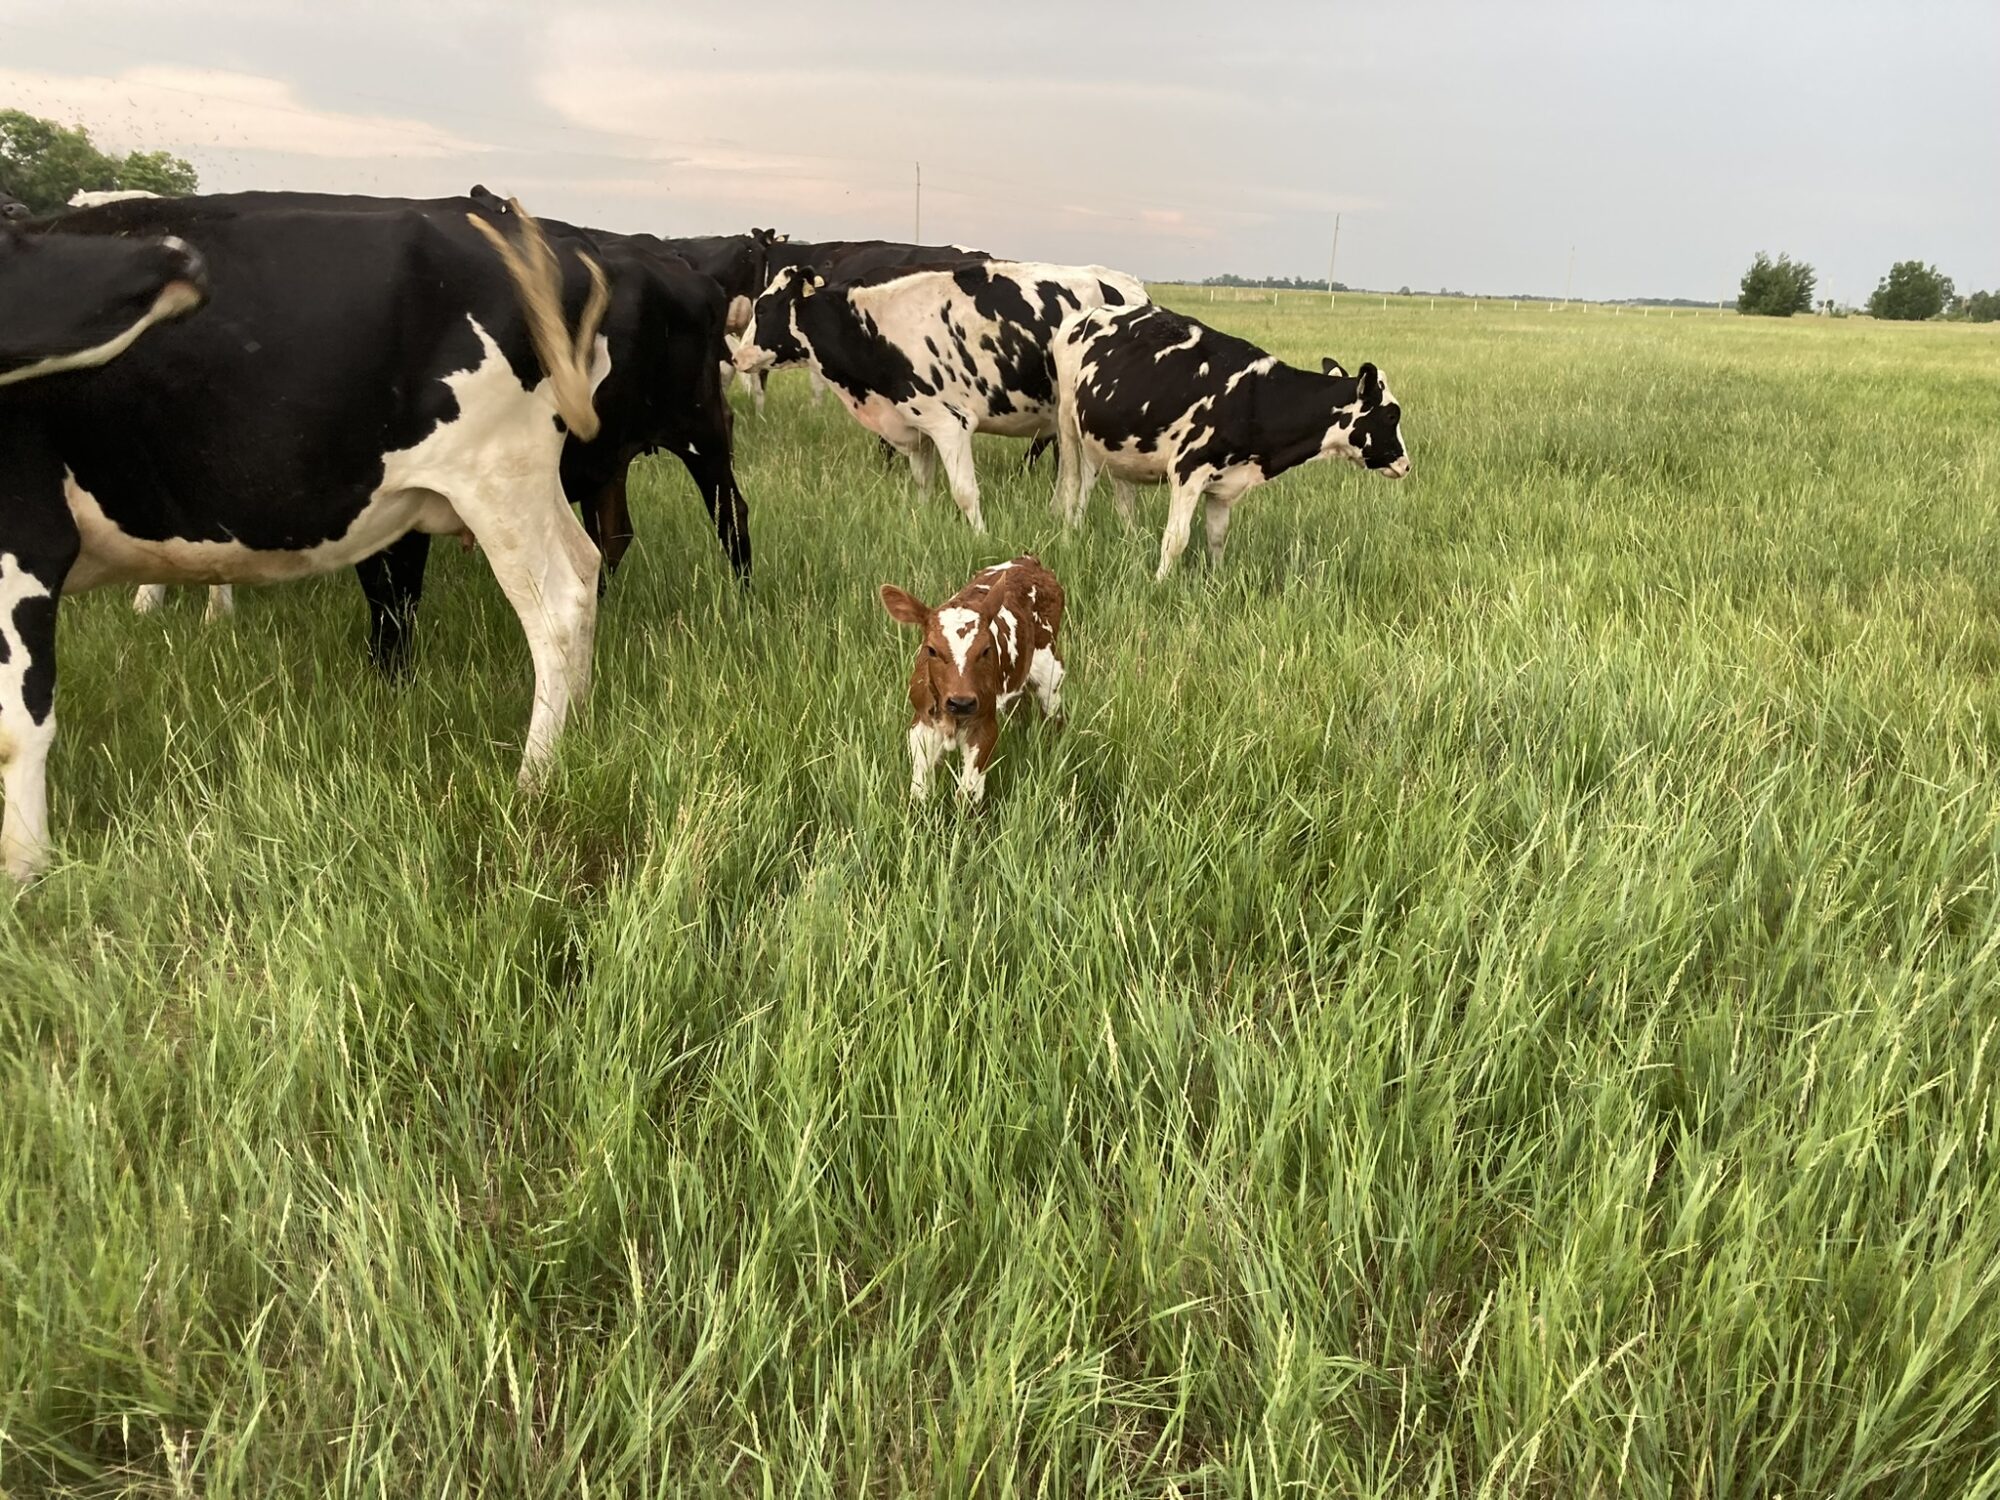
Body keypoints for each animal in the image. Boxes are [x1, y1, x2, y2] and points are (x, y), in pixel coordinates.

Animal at [0, 197, 608, 879]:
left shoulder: (28, 533)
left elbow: (18, 728)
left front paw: (24, 871)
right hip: (526, 481)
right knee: (586, 567)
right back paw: (580, 724)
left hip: (496, 474)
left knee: (558, 607)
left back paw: (535, 778)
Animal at [735, 260, 1147, 531]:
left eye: (763, 307)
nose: (738, 356)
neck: (873, 330)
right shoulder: (916, 430)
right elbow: (923, 484)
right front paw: (922, 521)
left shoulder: (950, 423)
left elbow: (965, 492)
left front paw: (982, 537)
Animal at [878, 555, 1064, 804]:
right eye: (931, 650)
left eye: (985, 650)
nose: (961, 702)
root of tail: (1027, 560)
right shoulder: (922, 723)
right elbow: (919, 790)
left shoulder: (984, 727)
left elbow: (967, 793)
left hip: (1050, 671)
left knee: (1055, 718)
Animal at [1051, 304, 1410, 580]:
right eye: (1392, 415)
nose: (1405, 464)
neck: (1256, 398)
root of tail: (1087, 313)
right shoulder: (1187, 471)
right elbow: (1176, 539)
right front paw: (1159, 584)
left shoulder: (1224, 487)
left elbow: (1217, 537)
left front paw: (1216, 582)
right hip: (1066, 421)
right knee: (1072, 485)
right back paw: (1068, 539)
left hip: (1113, 446)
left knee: (1119, 499)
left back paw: (1128, 544)